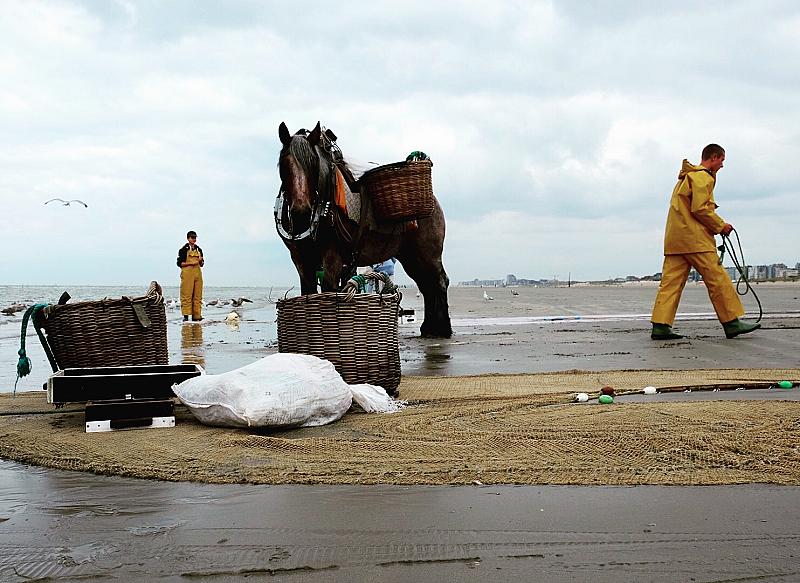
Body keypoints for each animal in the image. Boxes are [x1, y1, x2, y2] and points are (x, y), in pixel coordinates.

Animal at [276, 121, 452, 338]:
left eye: (313, 164)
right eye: (284, 164)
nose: (301, 210)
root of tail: (433, 202)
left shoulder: (332, 256)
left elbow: (329, 289)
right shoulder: (301, 258)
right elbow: (308, 291)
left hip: (428, 253)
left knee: (439, 281)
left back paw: (443, 328)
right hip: (410, 256)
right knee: (426, 284)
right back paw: (429, 328)